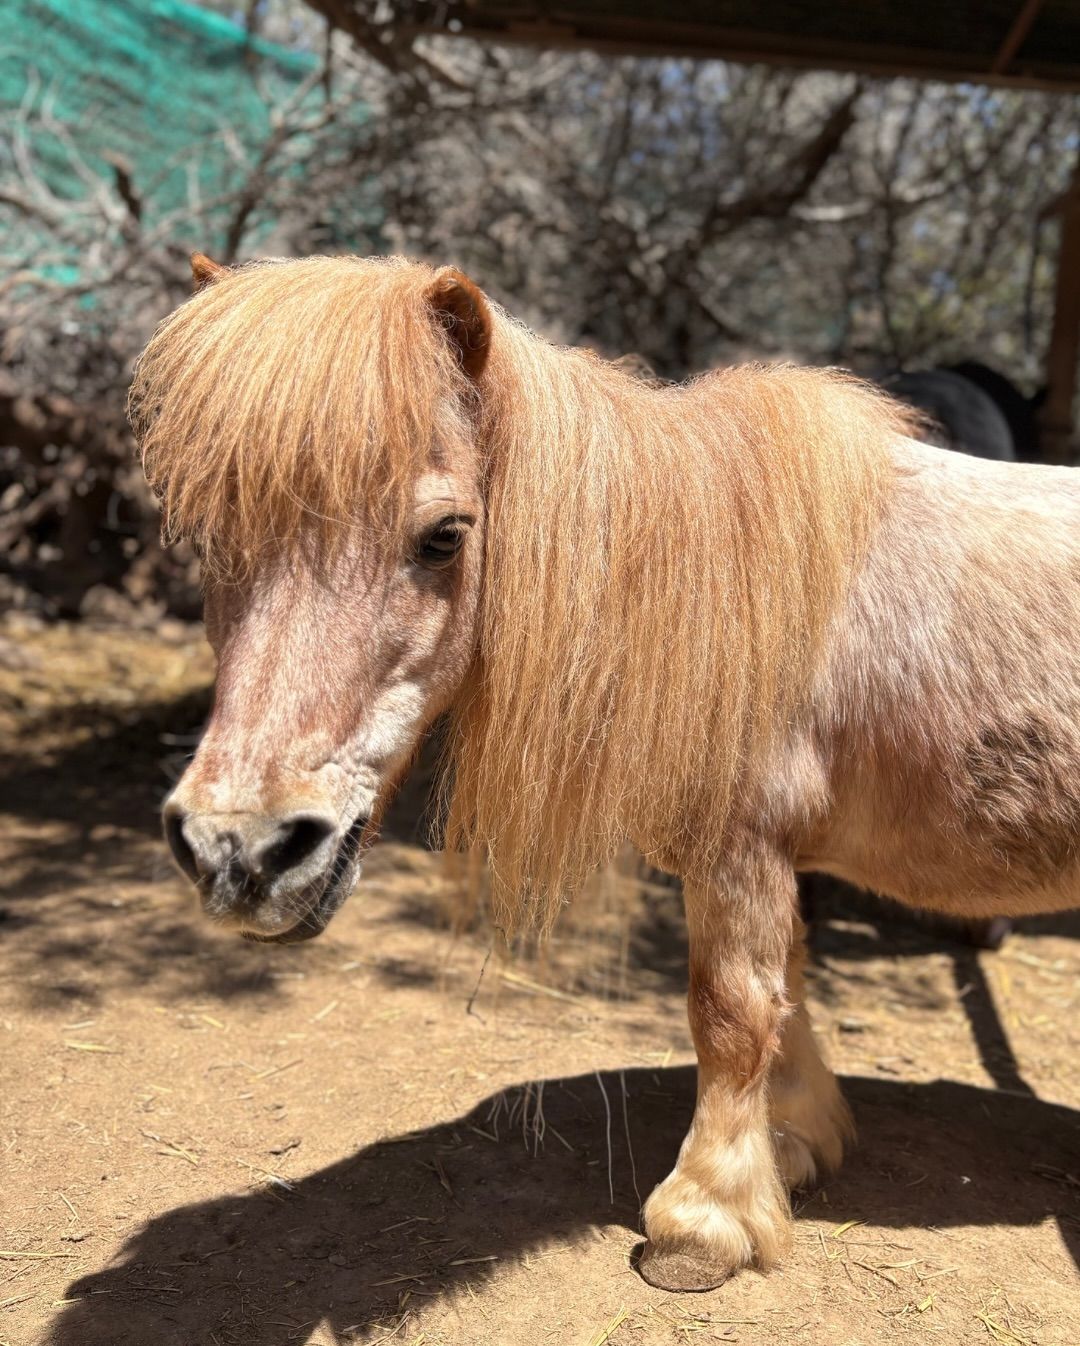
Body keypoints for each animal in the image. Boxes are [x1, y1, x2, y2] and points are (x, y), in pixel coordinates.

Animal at [130, 252, 1080, 1294]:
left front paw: (702, 1223)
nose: (240, 850)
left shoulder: (742, 849)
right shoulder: (769, 861)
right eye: (205, 535)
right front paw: (794, 1145)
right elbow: (782, 990)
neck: (708, 579)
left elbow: (731, 1012)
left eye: (444, 536)